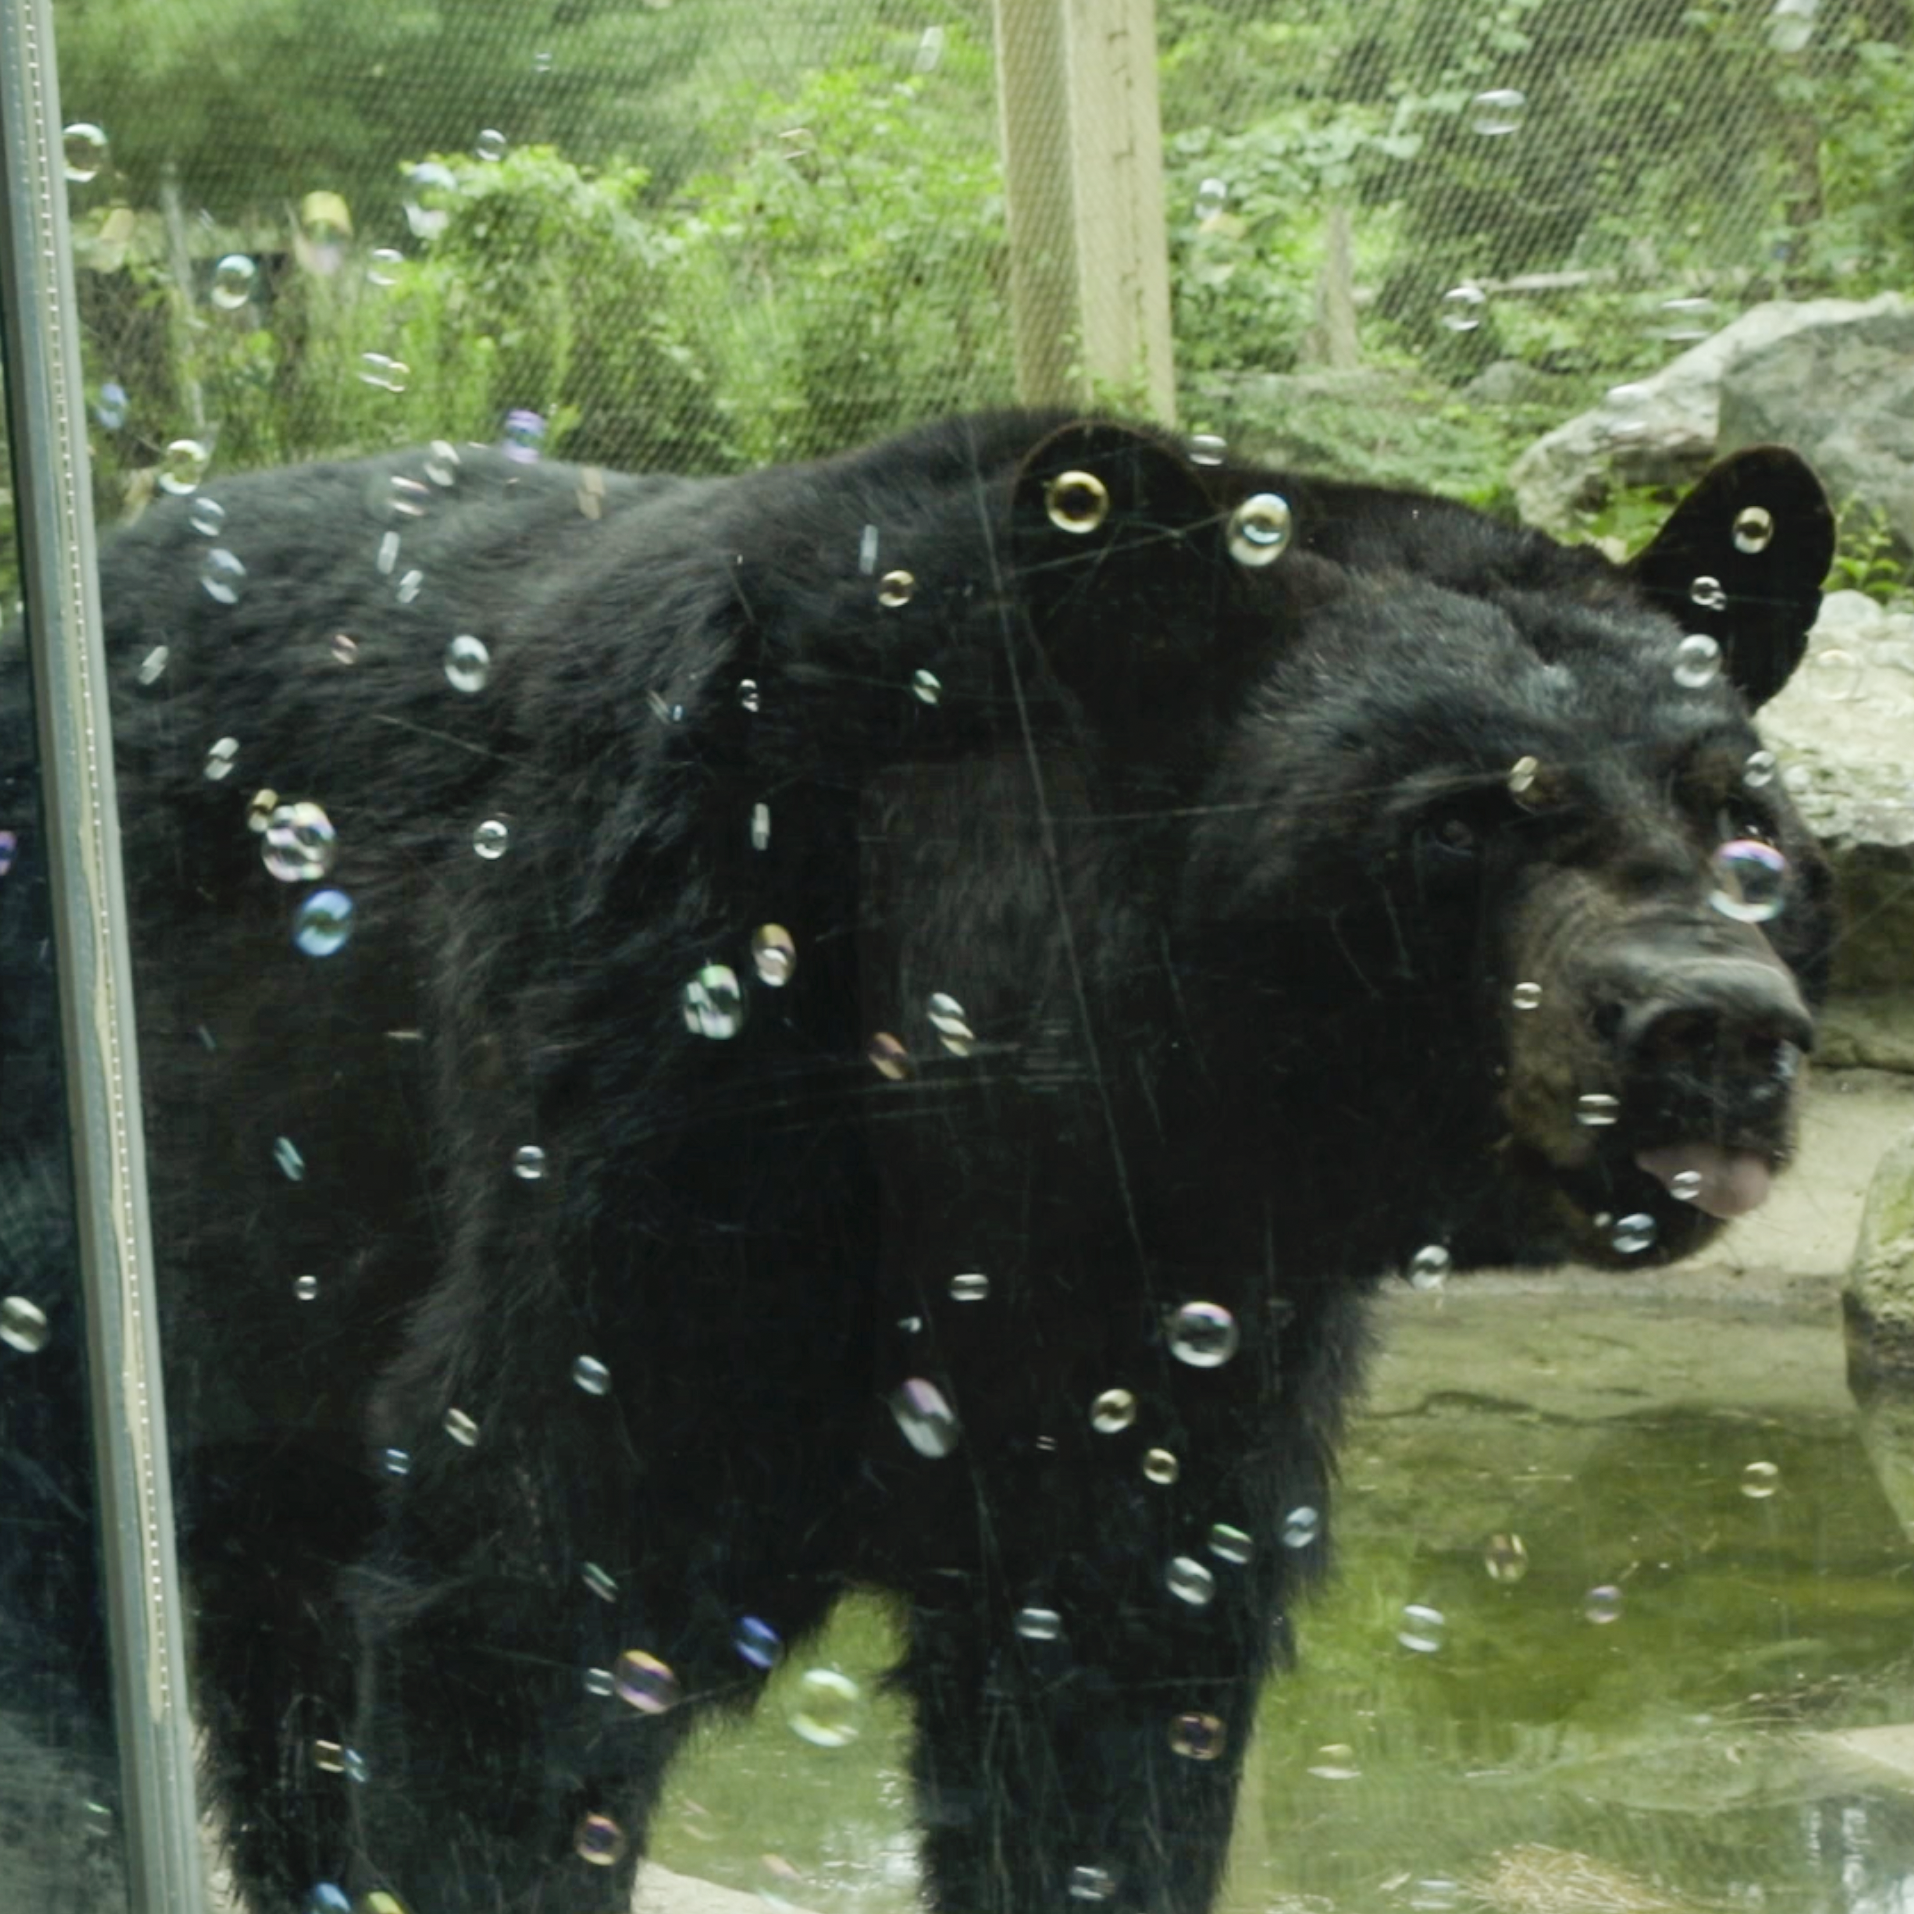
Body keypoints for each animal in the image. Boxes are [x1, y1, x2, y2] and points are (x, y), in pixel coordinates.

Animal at [0, 412, 1835, 1914]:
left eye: (1741, 823)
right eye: (1456, 820)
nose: (1714, 1026)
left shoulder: (1183, 1320)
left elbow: (1110, 1699)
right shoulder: (664, 1070)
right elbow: (521, 1597)